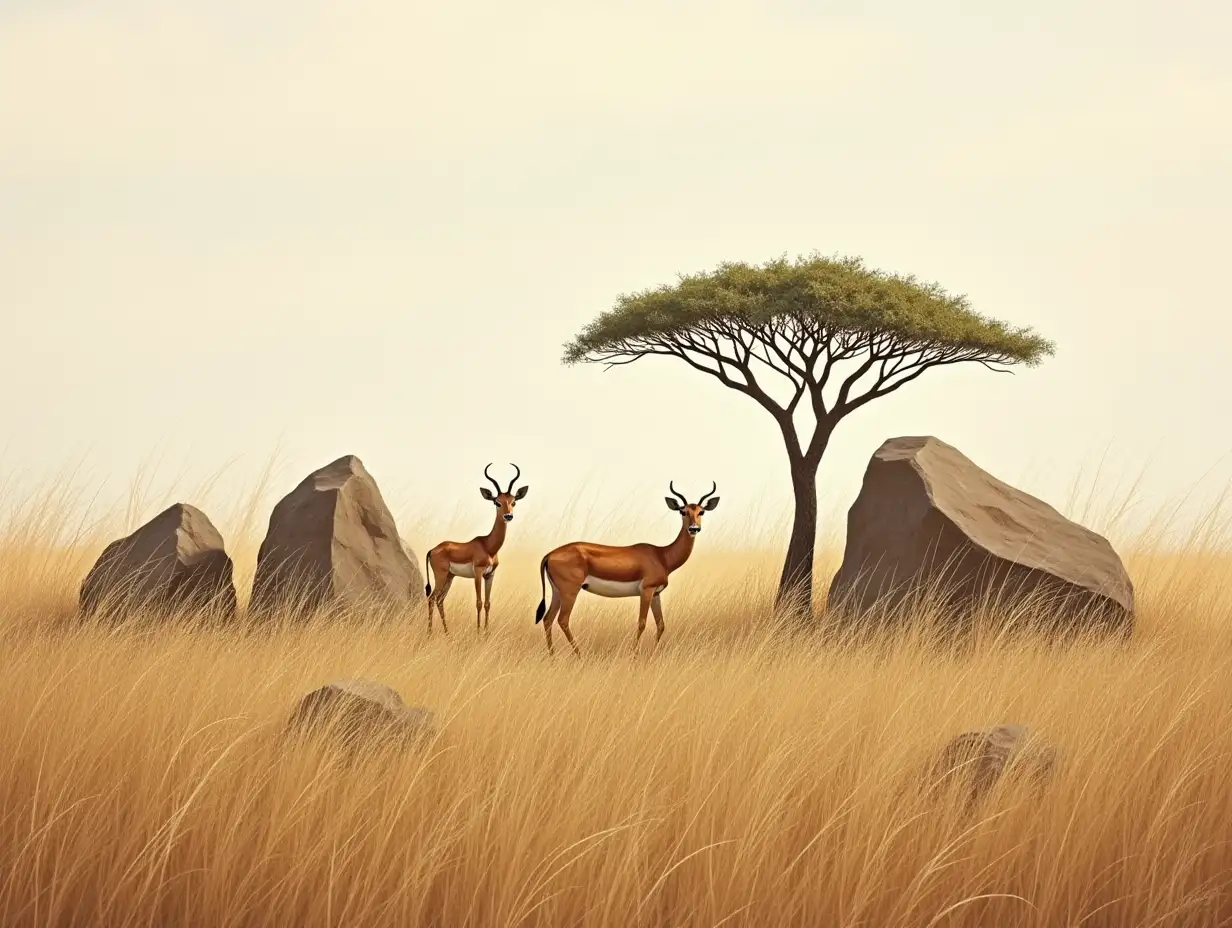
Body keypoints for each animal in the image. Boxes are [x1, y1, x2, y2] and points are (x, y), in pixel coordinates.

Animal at [426, 460, 527, 630]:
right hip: (441, 576)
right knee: (432, 598)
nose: (508, 516)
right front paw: (479, 632)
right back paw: (430, 633)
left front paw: (486, 632)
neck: (489, 546)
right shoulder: (478, 574)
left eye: (513, 502)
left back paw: (447, 633)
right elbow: (479, 603)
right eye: (497, 502)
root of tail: (433, 550)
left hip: (449, 577)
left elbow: (487, 603)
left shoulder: (490, 575)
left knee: (440, 600)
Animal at [532, 480, 719, 655]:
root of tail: (549, 554)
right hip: (570, 591)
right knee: (562, 620)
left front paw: (652, 655)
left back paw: (553, 657)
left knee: (547, 619)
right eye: (682, 511)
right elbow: (642, 623)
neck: (662, 556)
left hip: (557, 592)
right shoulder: (646, 591)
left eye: (701, 511)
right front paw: (634, 655)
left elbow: (661, 624)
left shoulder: (656, 593)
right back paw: (580, 656)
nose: (694, 528)